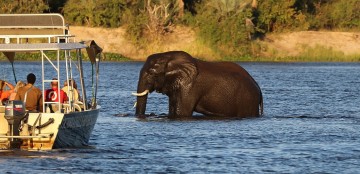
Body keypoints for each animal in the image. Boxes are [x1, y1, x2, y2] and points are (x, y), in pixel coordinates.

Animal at [134, 50, 262, 118]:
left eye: (151, 73)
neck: (169, 58)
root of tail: (259, 89)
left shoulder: (189, 86)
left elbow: (182, 112)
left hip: (248, 101)